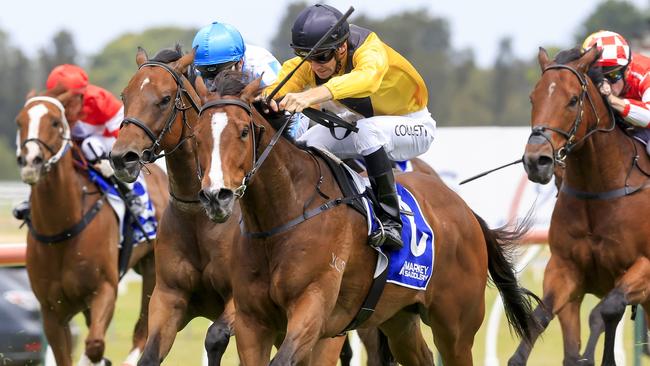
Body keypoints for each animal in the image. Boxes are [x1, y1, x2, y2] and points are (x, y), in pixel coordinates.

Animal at [15, 88, 168, 366]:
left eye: (55, 122)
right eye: (20, 122)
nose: (31, 161)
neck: (61, 228)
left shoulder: (104, 290)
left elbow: (95, 345)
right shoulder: (51, 311)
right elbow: (67, 355)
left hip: (153, 269)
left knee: (142, 330)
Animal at [195, 71, 540, 366]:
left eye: (243, 131)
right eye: (197, 135)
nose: (216, 196)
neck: (282, 217)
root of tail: (466, 211)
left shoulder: (315, 311)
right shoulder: (252, 322)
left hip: (456, 326)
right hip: (399, 318)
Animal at [508, 46, 648, 366]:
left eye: (573, 100)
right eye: (533, 97)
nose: (536, 161)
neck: (599, 191)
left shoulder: (644, 268)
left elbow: (606, 310)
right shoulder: (563, 269)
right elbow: (538, 319)